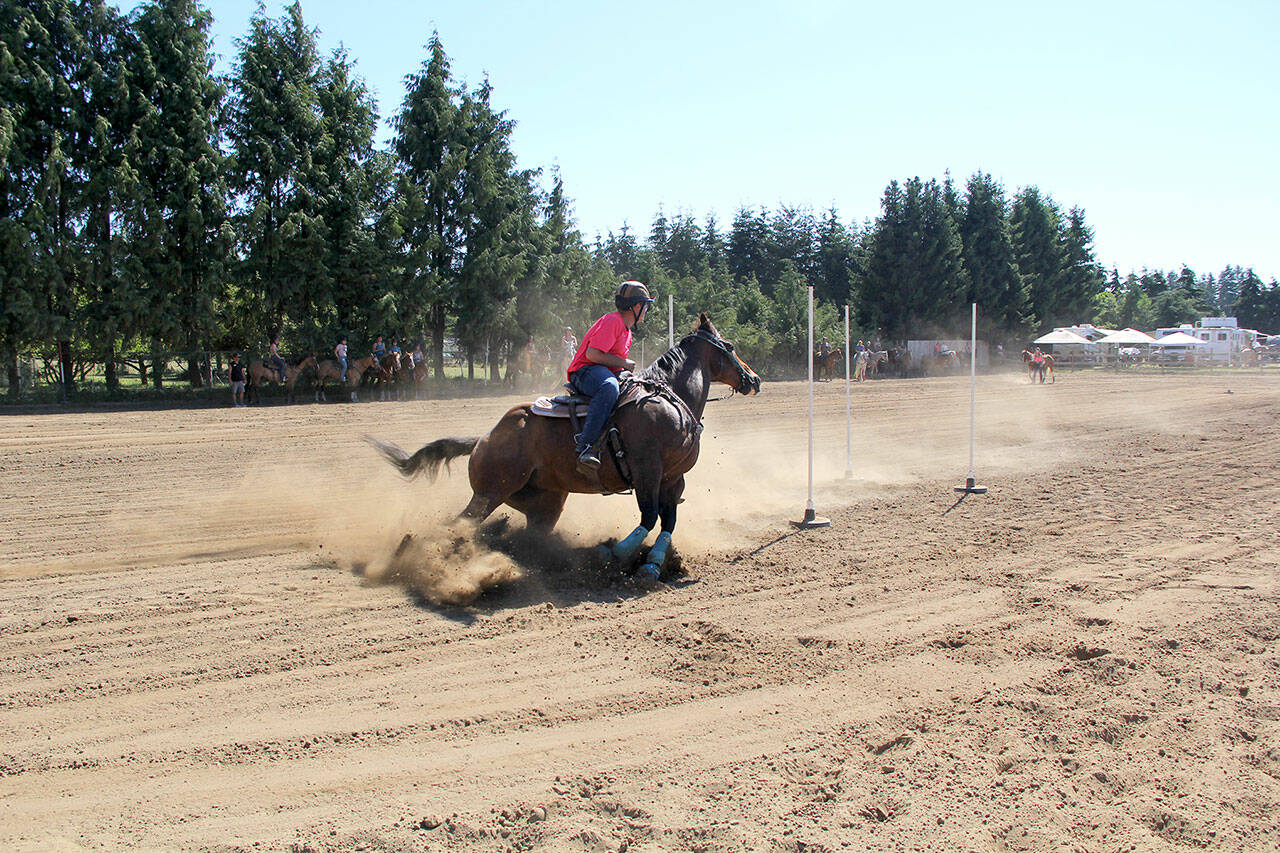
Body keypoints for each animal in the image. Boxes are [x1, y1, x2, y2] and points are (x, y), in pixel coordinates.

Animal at [371, 312, 762, 584]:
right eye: (729, 346)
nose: (755, 379)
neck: (668, 398)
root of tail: (484, 437)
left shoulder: (673, 478)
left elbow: (668, 520)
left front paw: (652, 564)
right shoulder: (647, 472)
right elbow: (649, 516)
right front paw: (615, 552)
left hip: (544, 504)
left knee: (526, 535)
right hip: (489, 493)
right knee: (458, 525)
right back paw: (418, 553)